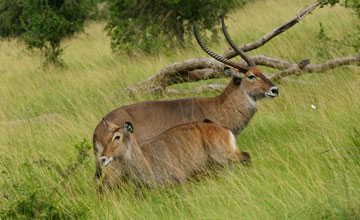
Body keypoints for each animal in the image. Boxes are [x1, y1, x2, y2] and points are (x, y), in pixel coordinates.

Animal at [98, 119, 250, 190]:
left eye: (117, 137)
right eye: (106, 137)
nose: (103, 159)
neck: (148, 161)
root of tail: (223, 128)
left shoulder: (182, 179)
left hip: (224, 155)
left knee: (246, 157)